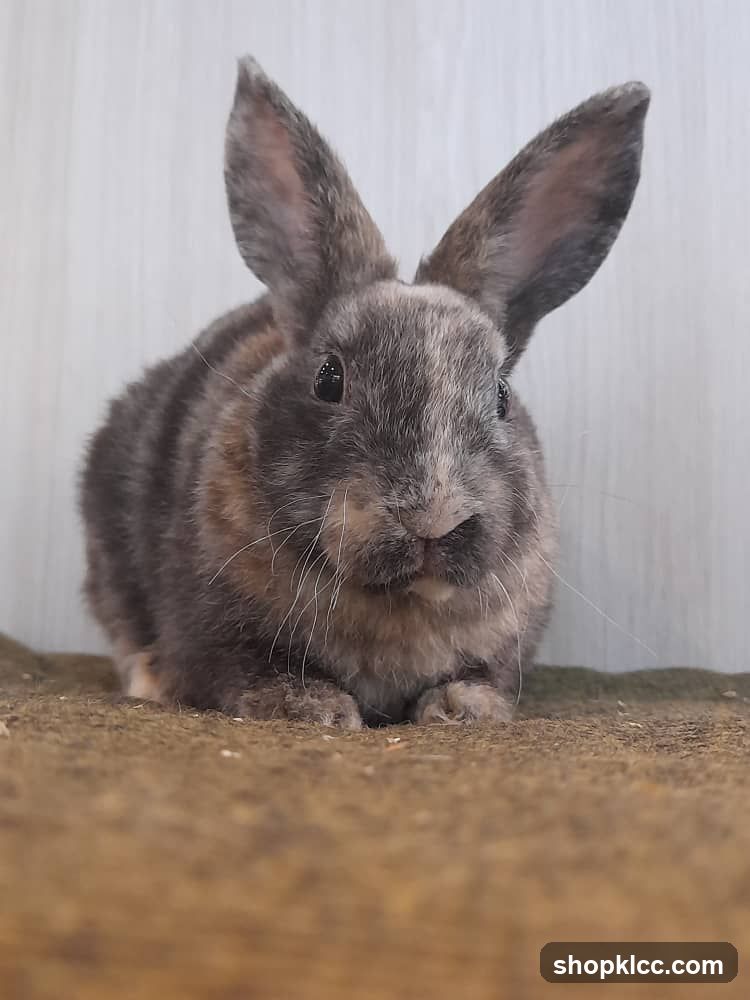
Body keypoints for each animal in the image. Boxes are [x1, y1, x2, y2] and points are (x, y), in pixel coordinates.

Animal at [80, 56, 649, 729]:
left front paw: (463, 709)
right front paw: (314, 709)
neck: (398, 601)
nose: (435, 518)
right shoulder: (215, 626)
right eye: (329, 379)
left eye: (502, 395)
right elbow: (248, 670)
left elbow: (480, 676)